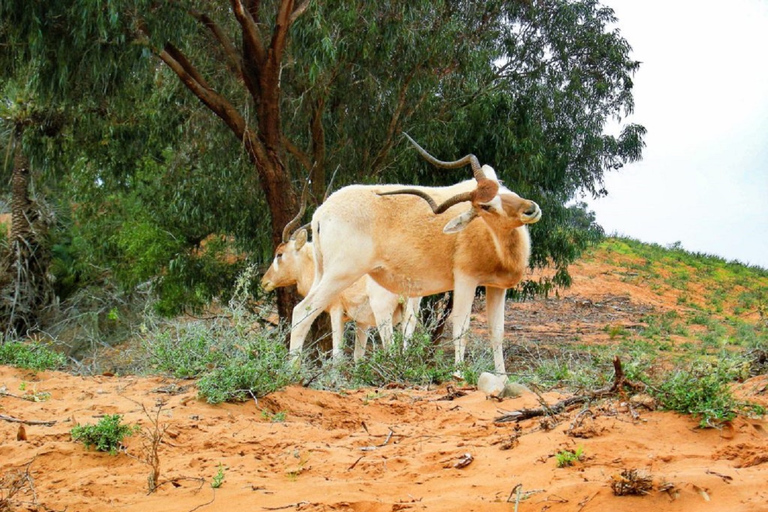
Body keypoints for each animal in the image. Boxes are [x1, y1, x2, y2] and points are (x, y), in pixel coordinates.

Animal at [264, 188, 420, 360]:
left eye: (279, 254)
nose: (264, 281)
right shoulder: (362, 322)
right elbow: (358, 357)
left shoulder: (336, 311)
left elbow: (337, 356)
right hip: (409, 311)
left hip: (383, 312)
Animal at [288, 135, 540, 376]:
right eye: (486, 206)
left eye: (503, 189)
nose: (531, 209)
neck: (489, 233)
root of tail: (320, 213)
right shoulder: (465, 280)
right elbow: (461, 328)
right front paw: (459, 375)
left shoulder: (496, 287)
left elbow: (496, 332)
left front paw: (502, 378)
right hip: (341, 274)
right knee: (303, 311)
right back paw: (292, 372)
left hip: (326, 274)